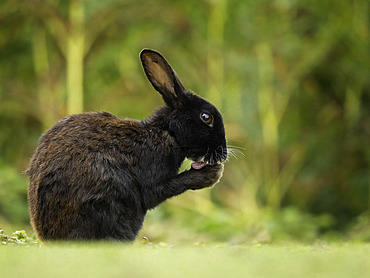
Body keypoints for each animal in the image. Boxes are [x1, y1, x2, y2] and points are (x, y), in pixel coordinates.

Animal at [27, 48, 227, 240]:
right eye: (206, 117)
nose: (223, 153)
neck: (168, 132)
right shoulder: (153, 174)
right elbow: (160, 190)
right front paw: (212, 174)